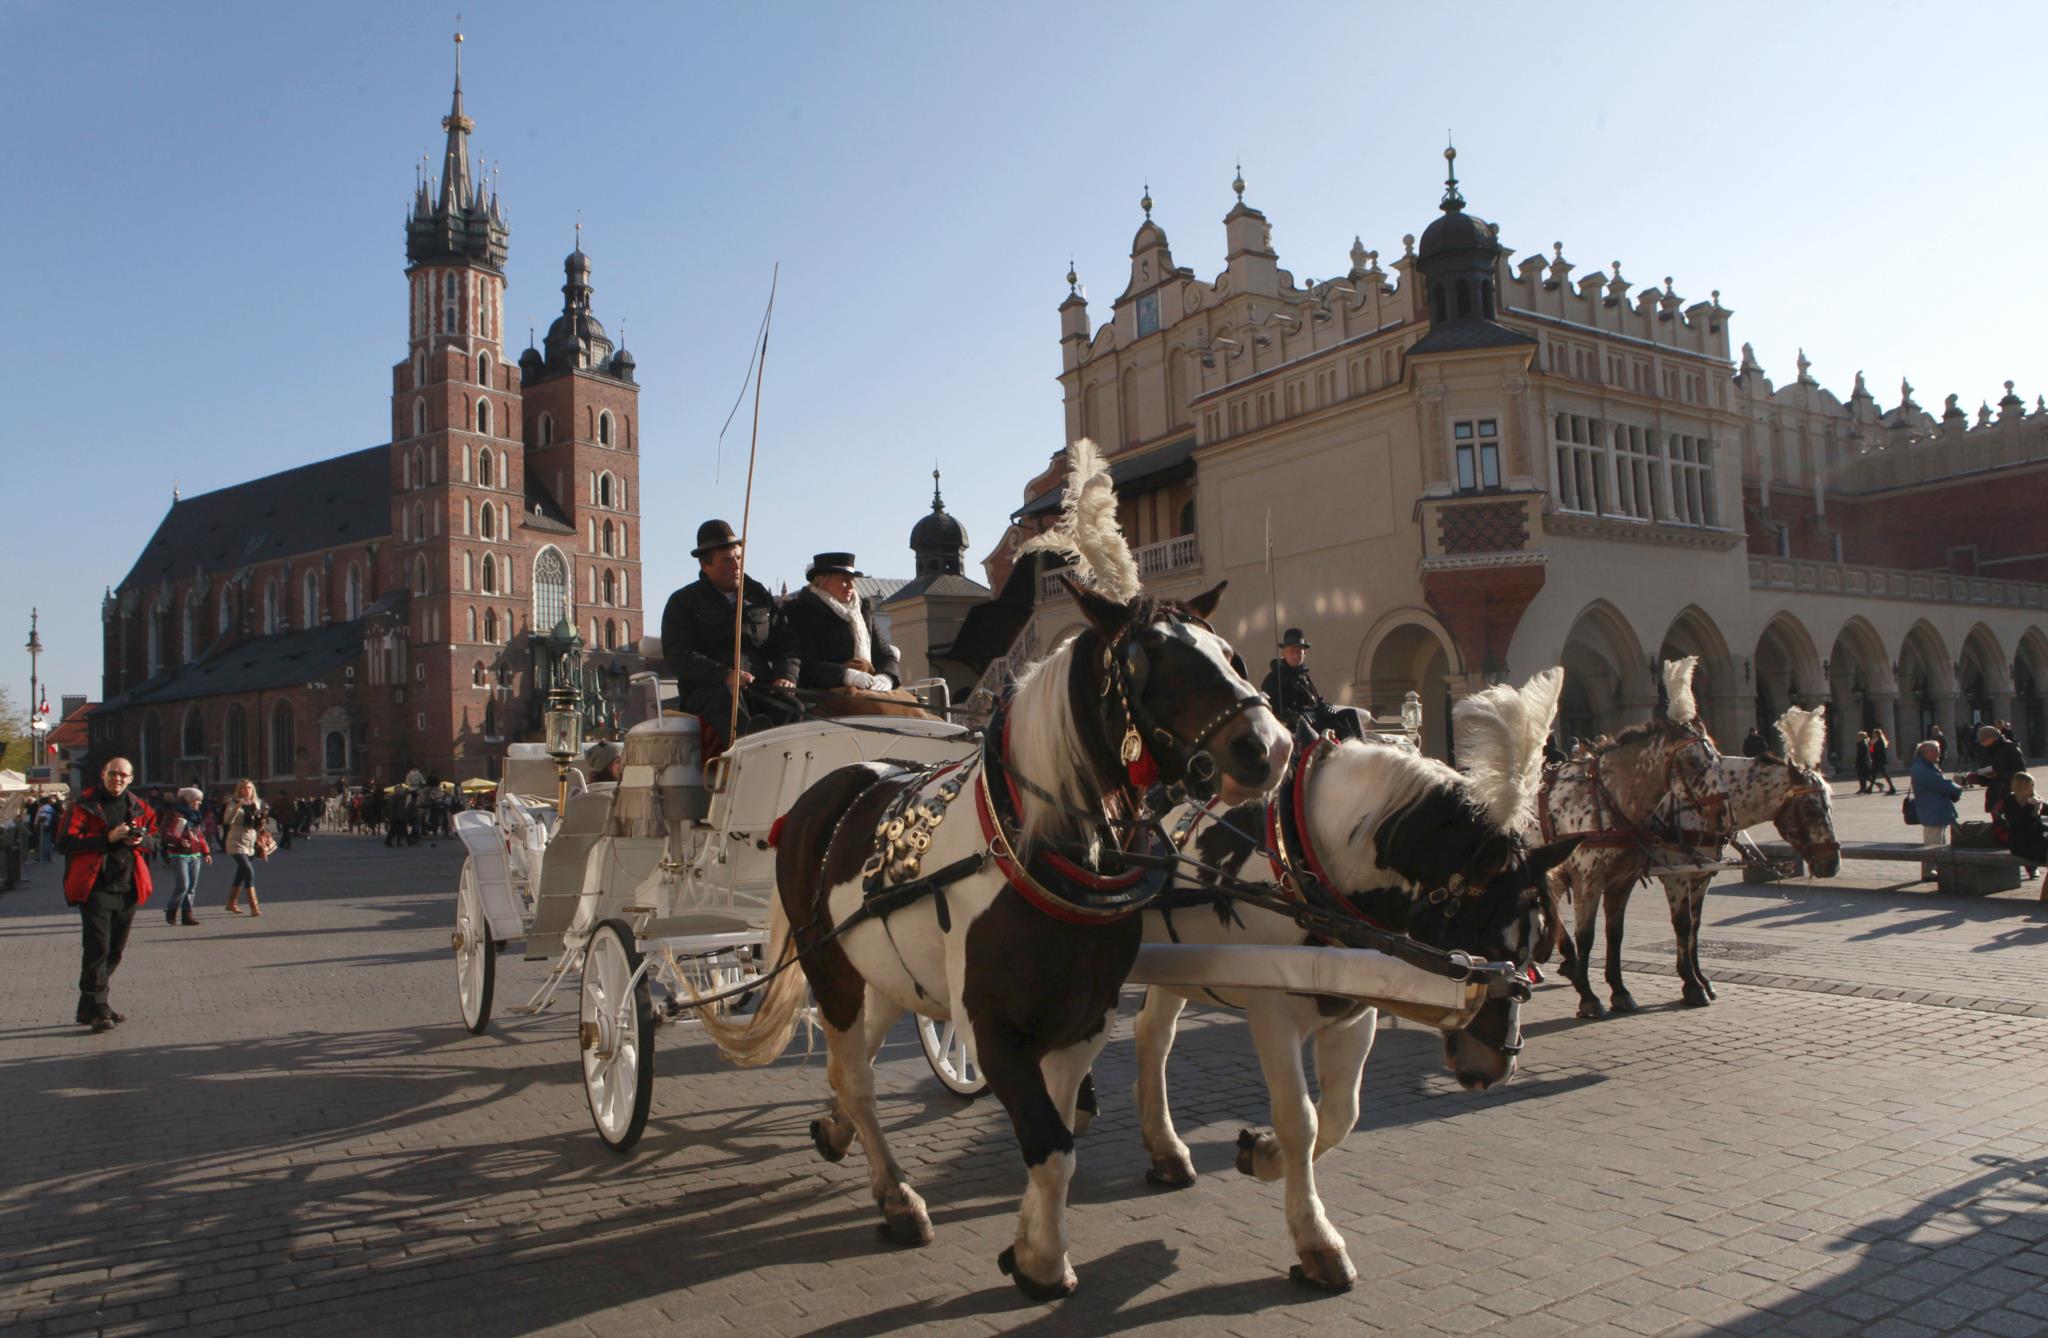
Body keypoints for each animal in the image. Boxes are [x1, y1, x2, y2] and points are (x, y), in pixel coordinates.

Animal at [1130, 672, 1572, 1286]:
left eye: (1536, 948)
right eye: (1485, 943)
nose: (1495, 1069)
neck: (1309, 862)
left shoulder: (1354, 1011)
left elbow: (1340, 1117)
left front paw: (1261, 1155)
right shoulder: (1271, 1011)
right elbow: (1301, 1120)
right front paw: (1317, 1241)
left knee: (1153, 1037)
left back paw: (1166, 1150)